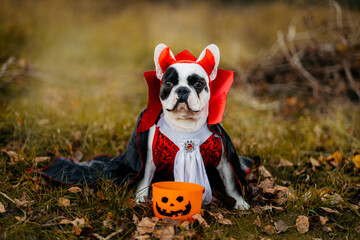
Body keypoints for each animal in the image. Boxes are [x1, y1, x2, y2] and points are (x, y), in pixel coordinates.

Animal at [134, 44, 249, 209]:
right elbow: (143, 179)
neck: (186, 124)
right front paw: (141, 198)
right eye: (169, 84)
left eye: (198, 84)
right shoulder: (149, 160)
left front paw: (239, 201)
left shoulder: (225, 162)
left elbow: (231, 184)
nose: (182, 89)